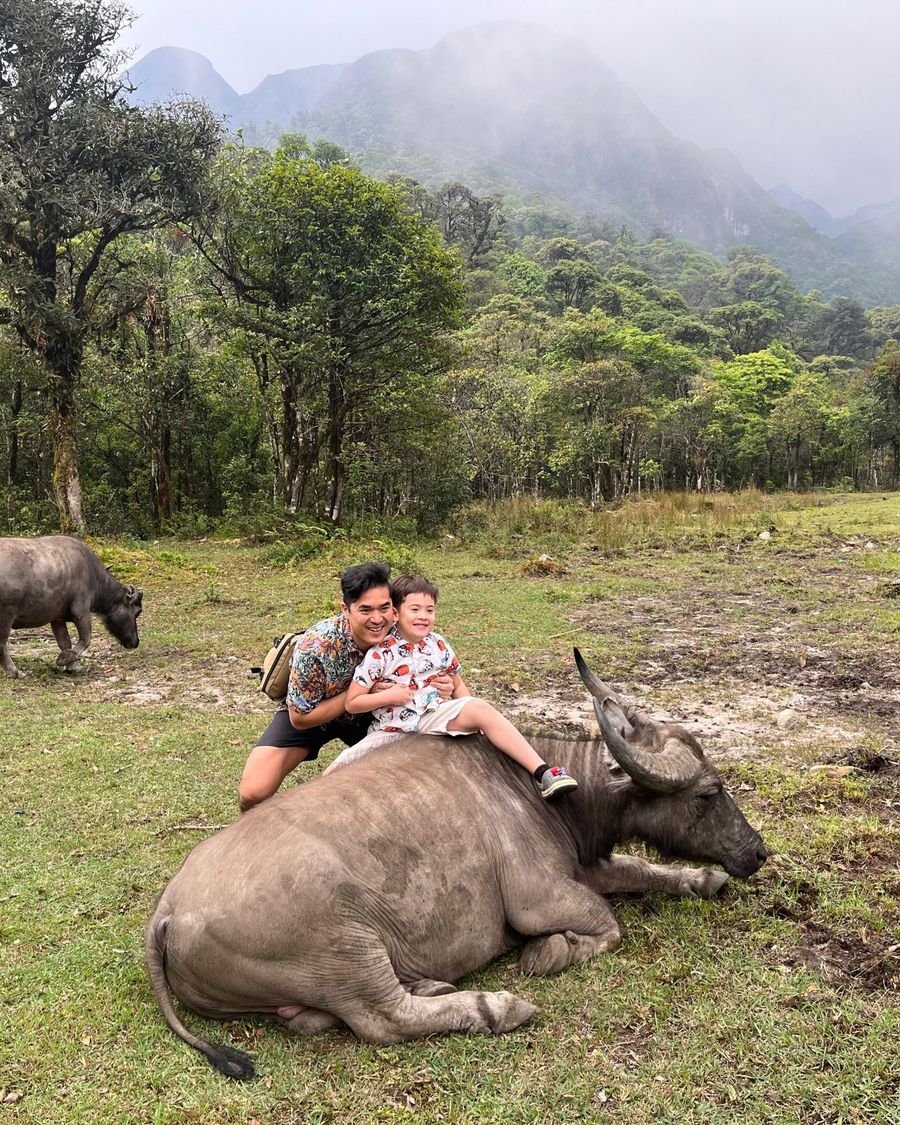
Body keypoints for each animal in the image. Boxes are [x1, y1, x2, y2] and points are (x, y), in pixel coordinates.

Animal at [0, 535, 142, 677]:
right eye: (137, 611)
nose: (135, 642)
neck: (92, 574)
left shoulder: (57, 618)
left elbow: (65, 642)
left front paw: (73, 666)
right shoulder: (81, 611)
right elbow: (86, 639)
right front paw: (65, 659)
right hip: (7, 614)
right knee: (2, 644)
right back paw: (16, 672)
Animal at [146, 649, 767, 1079]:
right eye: (709, 792)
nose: (756, 852)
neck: (537, 787)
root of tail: (167, 912)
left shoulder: (588, 863)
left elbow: (640, 872)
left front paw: (703, 878)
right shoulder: (540, 897)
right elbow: (607, 924)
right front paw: (551, 952)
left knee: (316, 1018)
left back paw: (430, 986)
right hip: (351, 951)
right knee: (382, 1018)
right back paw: (495, 1006)